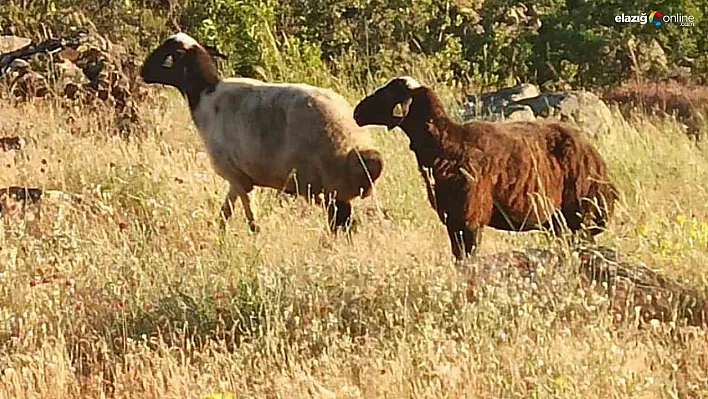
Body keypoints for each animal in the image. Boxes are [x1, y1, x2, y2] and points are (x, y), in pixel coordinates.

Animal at [138, 32, 382, 233]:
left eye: (167, 54)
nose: (143, 72)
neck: (205, 94)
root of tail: (362, 150)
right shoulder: (239, 178)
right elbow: (224, 214)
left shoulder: (235, 176)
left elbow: (251, 221)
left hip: (328, 186)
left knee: (342, 223)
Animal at [352, 77, 616, 260]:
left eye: (388, 94)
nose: (357, 112)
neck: (447, 143)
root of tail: (599, 162)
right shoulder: (453, 221)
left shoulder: (469, 218)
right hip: (559, 223)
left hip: (581, 216)